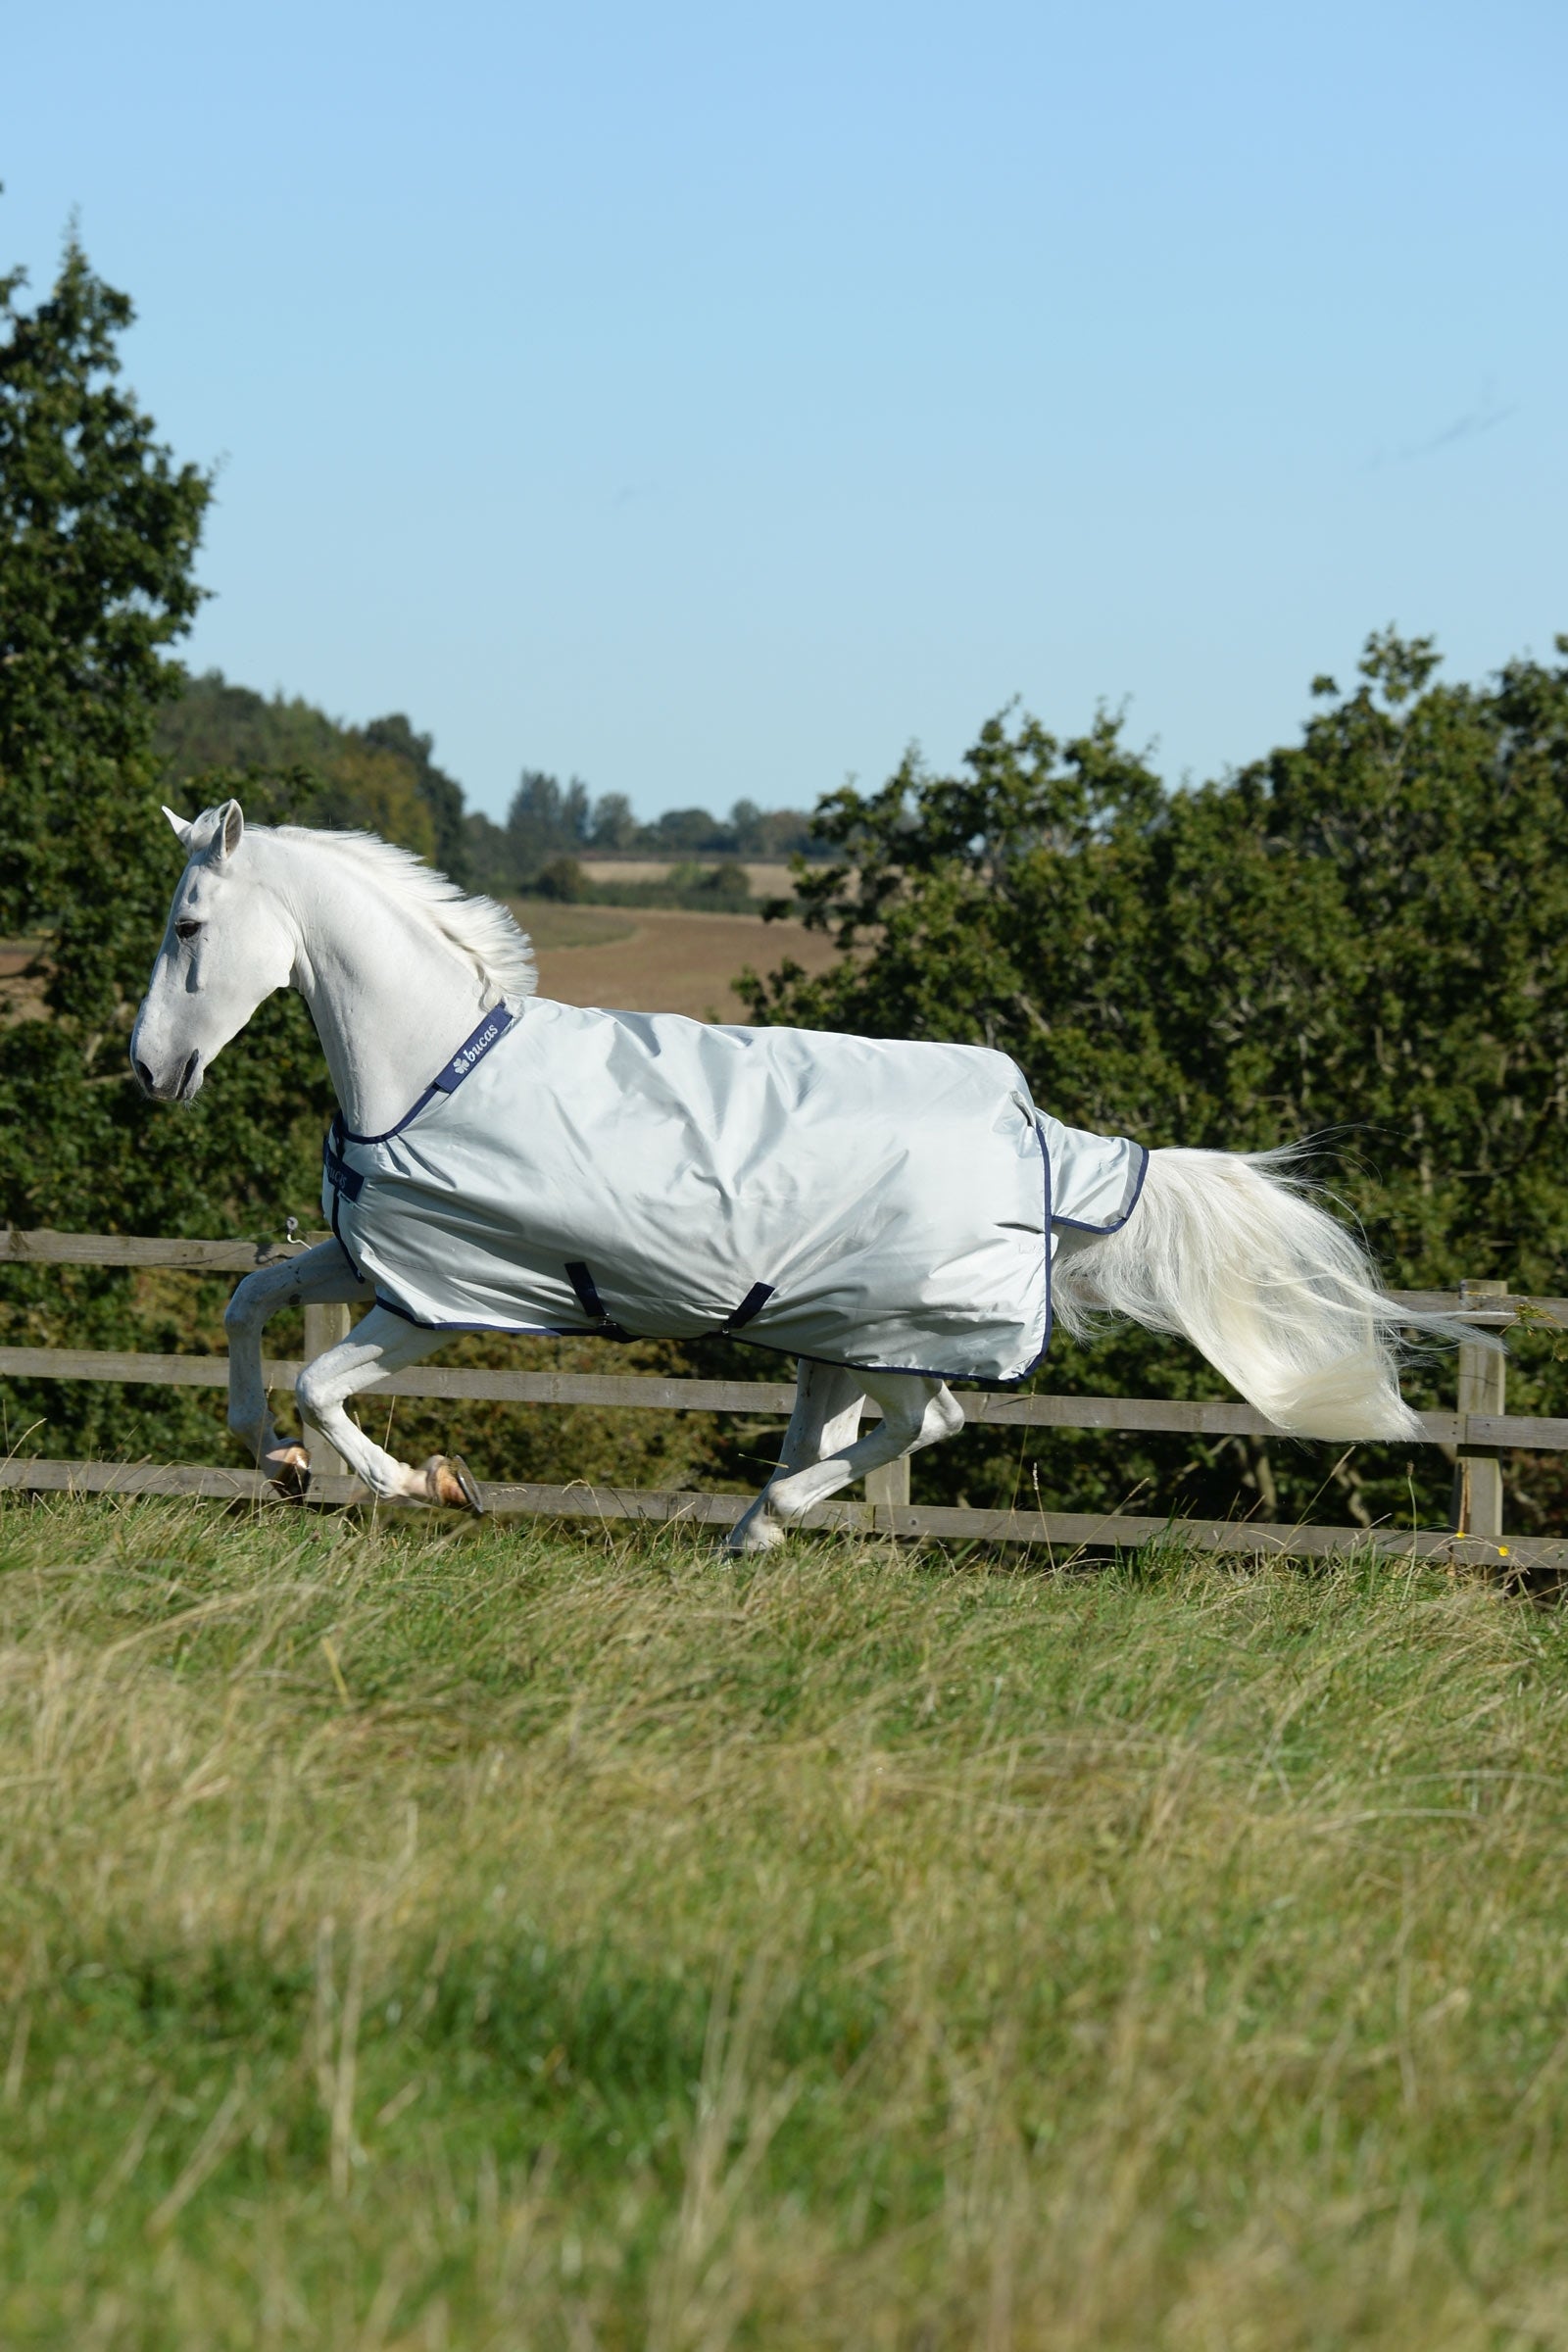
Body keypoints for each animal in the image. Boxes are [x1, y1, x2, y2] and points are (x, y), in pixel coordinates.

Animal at [130, 798, 1451, 1550]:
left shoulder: (437, 1299)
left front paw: (429, 1484)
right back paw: (749, 1537)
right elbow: (247, 1306)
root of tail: (1043, 1134)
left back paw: (762, 1524)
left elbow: (324, 1385)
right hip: (839, 1335)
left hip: (895, 1327)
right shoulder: (368, 1259)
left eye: (189, 927)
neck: (434, 1067)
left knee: (931, 1420)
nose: (147, 1072)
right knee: (863, 1430)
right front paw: (275, 1462)